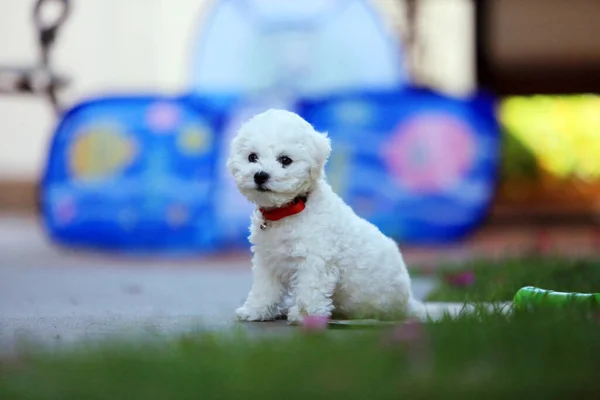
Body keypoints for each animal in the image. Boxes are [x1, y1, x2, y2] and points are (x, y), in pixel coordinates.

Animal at [226, 108, 426, 324]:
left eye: (285, 160)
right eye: (252, 157)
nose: (260, 175)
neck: (290, 209)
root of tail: (409, 304)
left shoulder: (315, 258)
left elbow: (310, 287)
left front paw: (305, 316)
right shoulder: (267, 260)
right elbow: (264, 288)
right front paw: (255, 310)